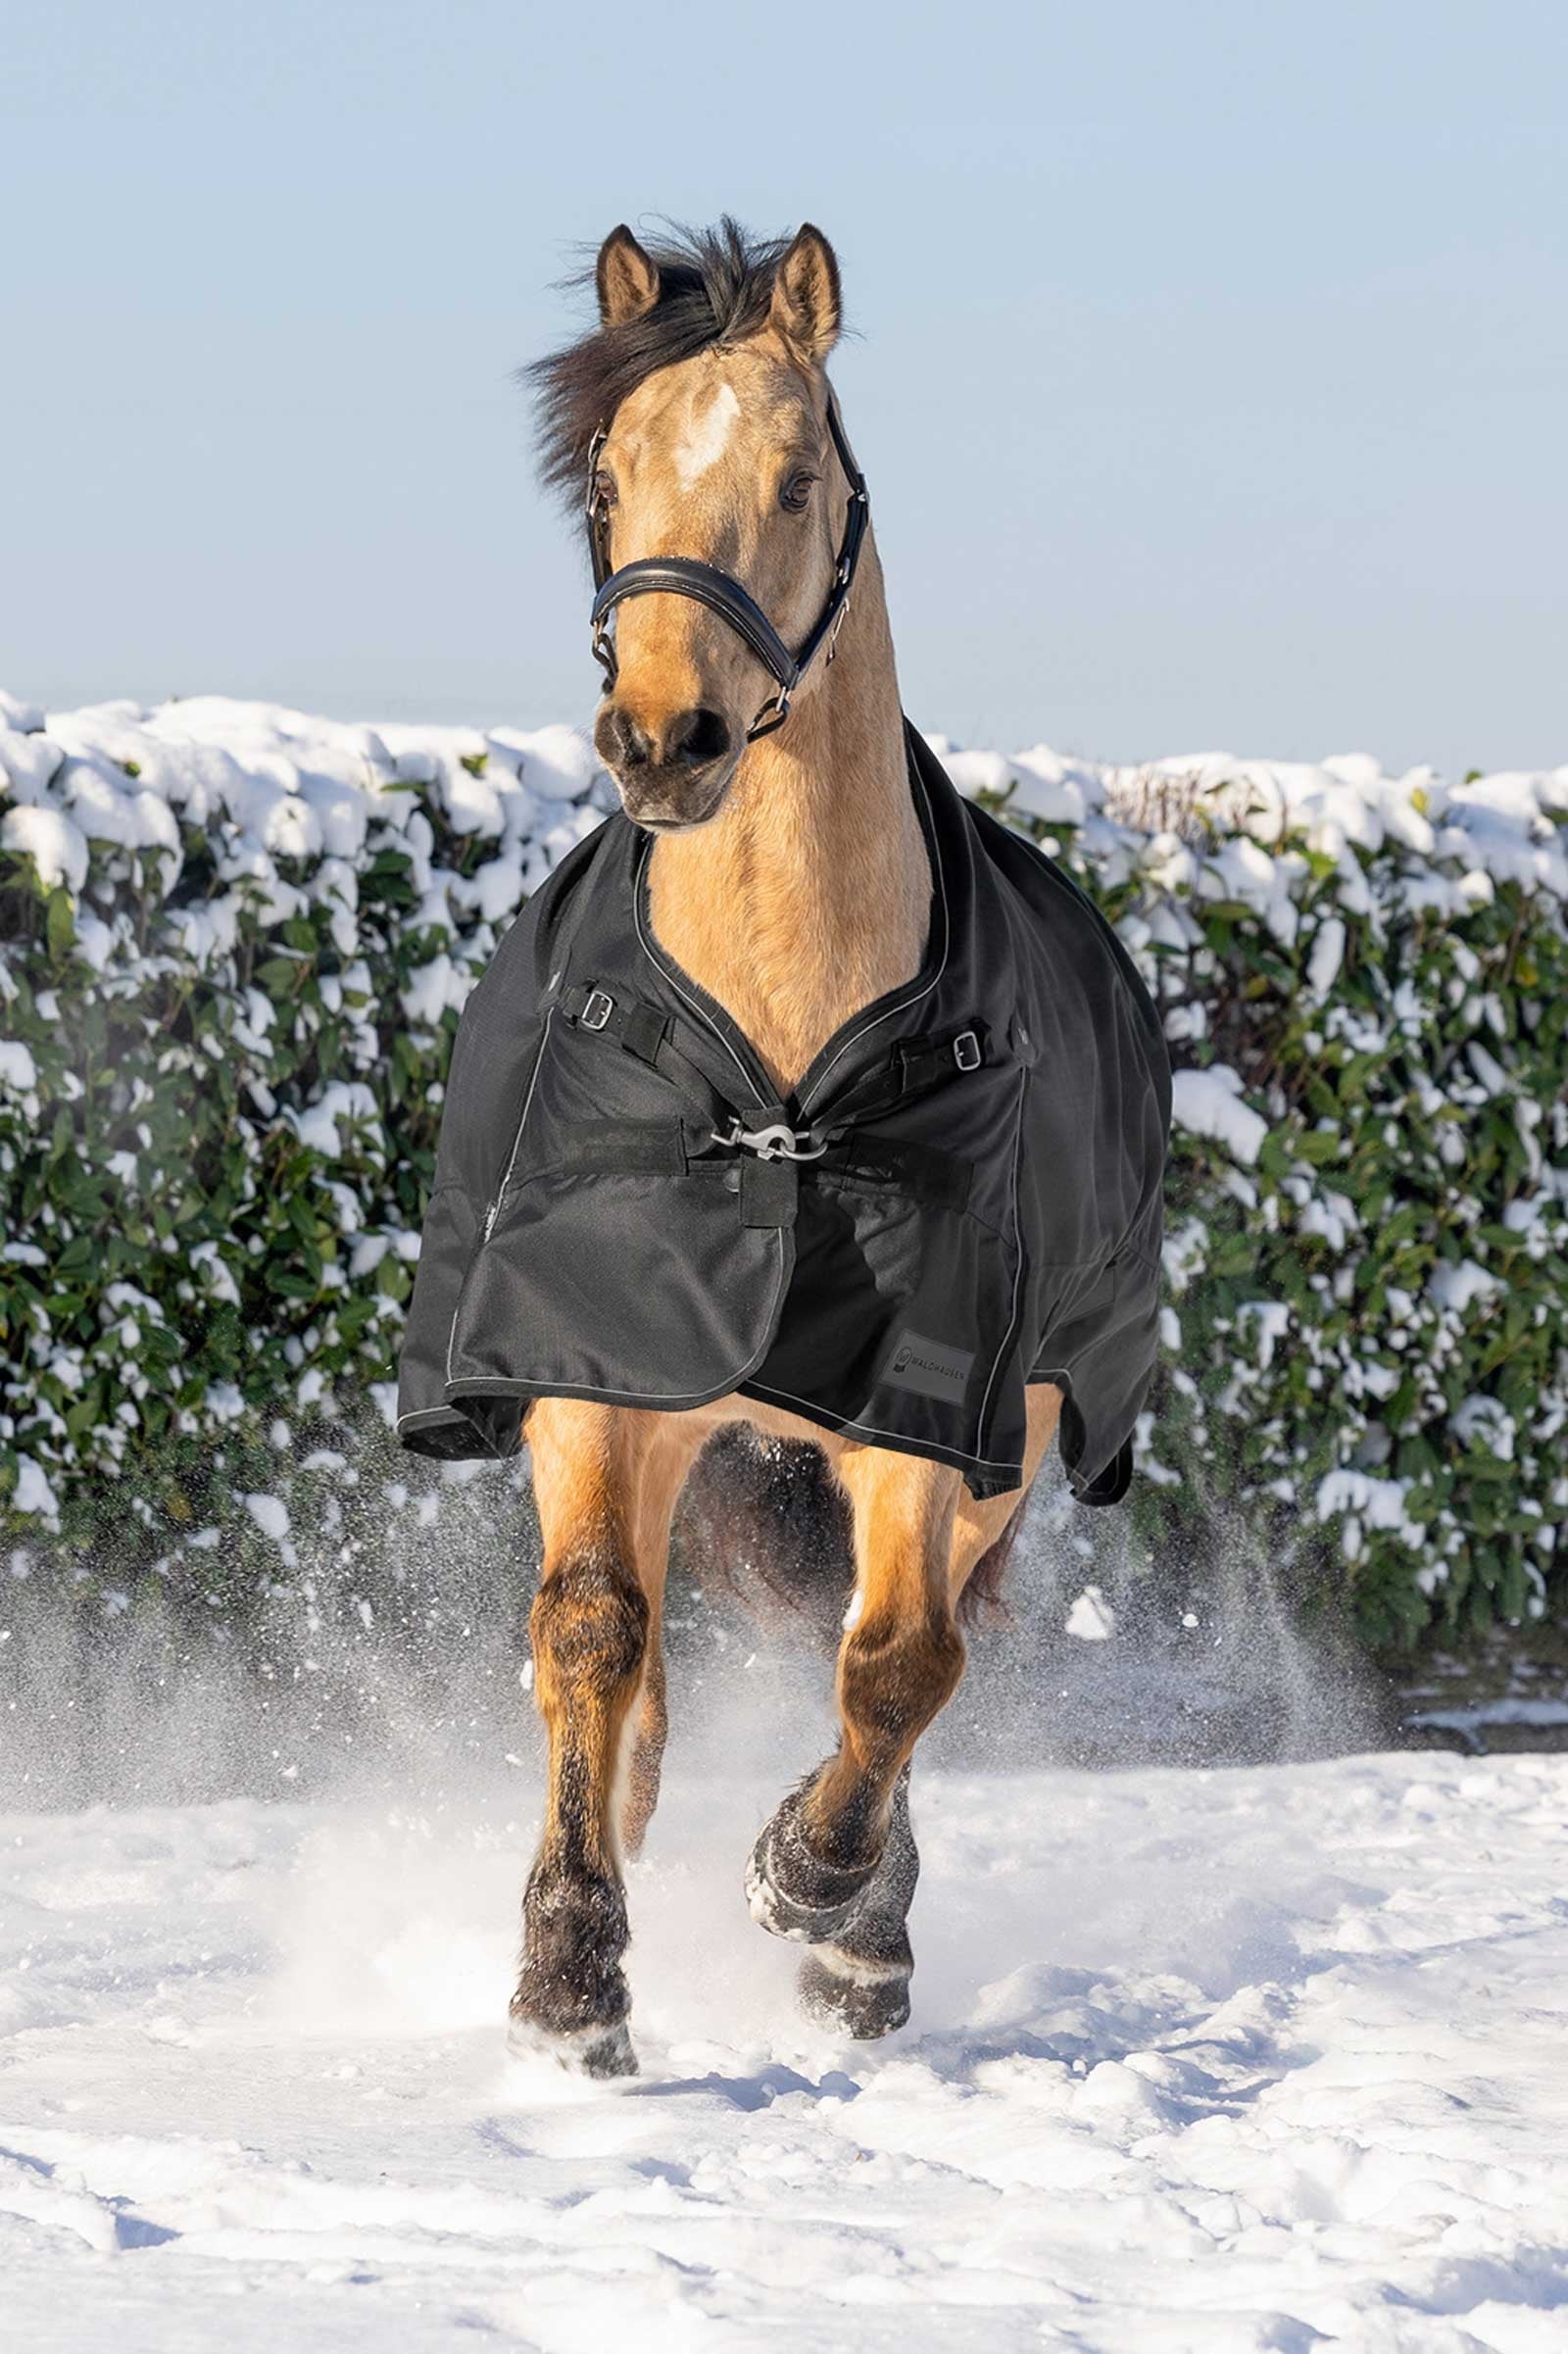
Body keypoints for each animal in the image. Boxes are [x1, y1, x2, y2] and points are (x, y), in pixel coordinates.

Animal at [398, 219, 1168, 2076]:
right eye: (608, 479)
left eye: (798, 478)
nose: (663, 740)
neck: (782, 1083)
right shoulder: (593, 1372)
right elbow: (592, 1627)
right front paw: (570, 1974)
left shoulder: (936, 1407)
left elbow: (896, 1663)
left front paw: (820, 1898)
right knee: (644, 1666)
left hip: (1015, 1439)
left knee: (914, 1648)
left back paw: (860, 1928)